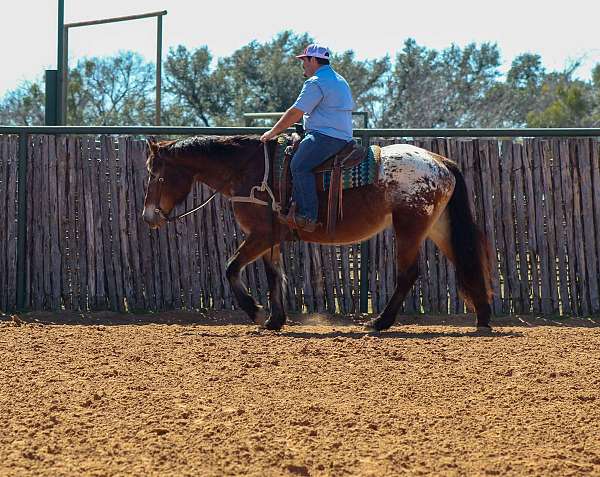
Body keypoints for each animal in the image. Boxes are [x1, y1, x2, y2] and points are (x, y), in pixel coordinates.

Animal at [144, 134, 492, 330]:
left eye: (156, 174)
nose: (148, 216)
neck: (248, 171)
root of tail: (438, 160)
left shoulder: (259, 234)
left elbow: (230, 268)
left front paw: (255, 312)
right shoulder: (271, 238)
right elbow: (274, 276)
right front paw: (275, 320)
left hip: (409, 227)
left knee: (408, 273)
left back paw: (380, 322)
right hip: (437, 227)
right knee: (466, 262)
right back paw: (483, 317)